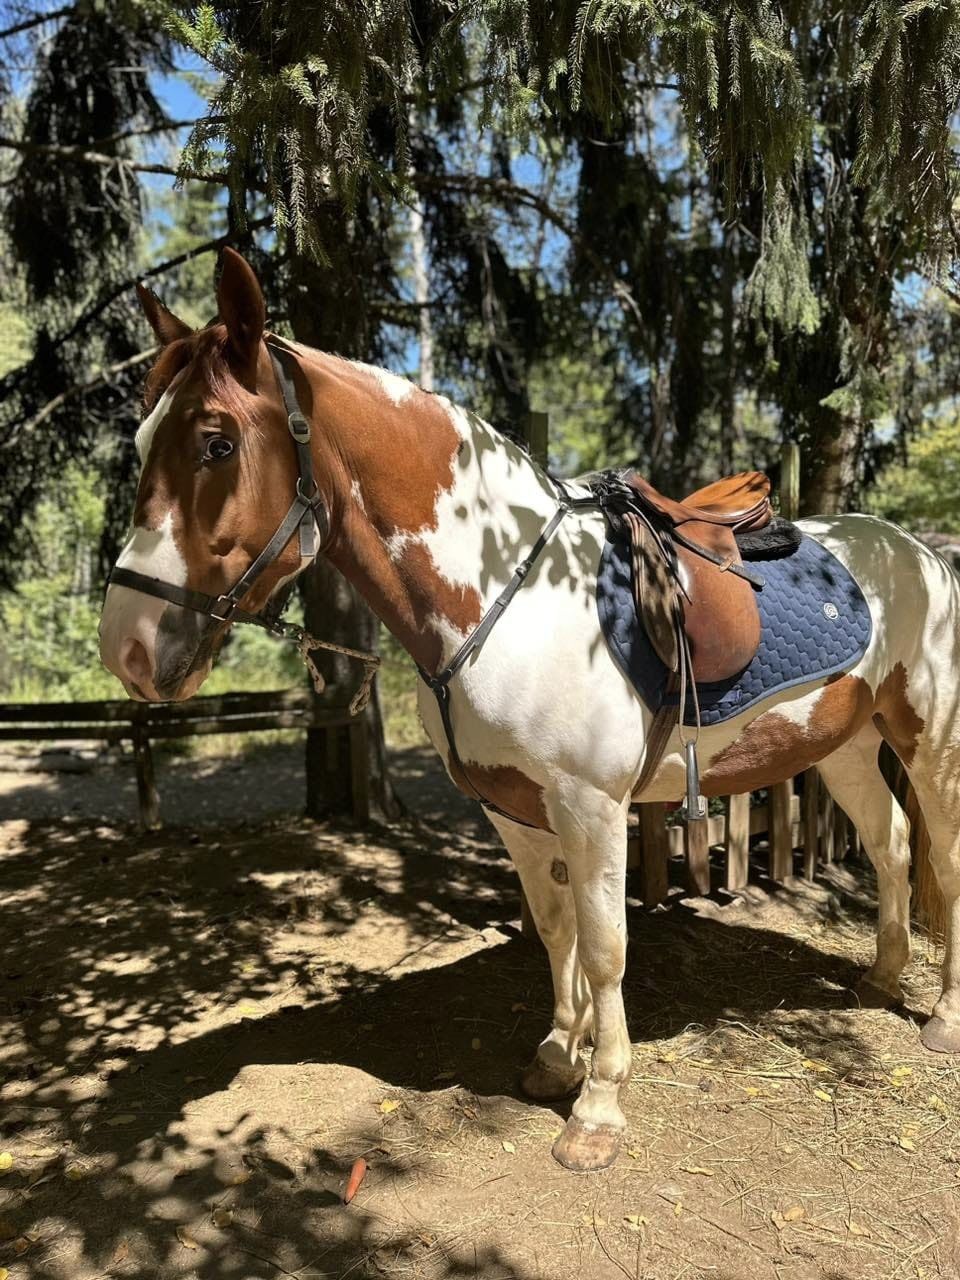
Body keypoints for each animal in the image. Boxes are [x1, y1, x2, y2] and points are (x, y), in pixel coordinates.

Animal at [100, 248, 960, 1173]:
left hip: (930, 741)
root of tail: (923, 555)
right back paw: (880, 978)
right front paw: (556, 1058)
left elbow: (608, 946)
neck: (503, 594)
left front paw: (599, 1109)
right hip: (844, 744)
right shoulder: (512, 811)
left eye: (216, 442)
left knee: (942, 855)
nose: (127, 646)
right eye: (144, 440)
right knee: (891, 844)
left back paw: (941, 1019)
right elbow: (556, 932)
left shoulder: (591, 808)